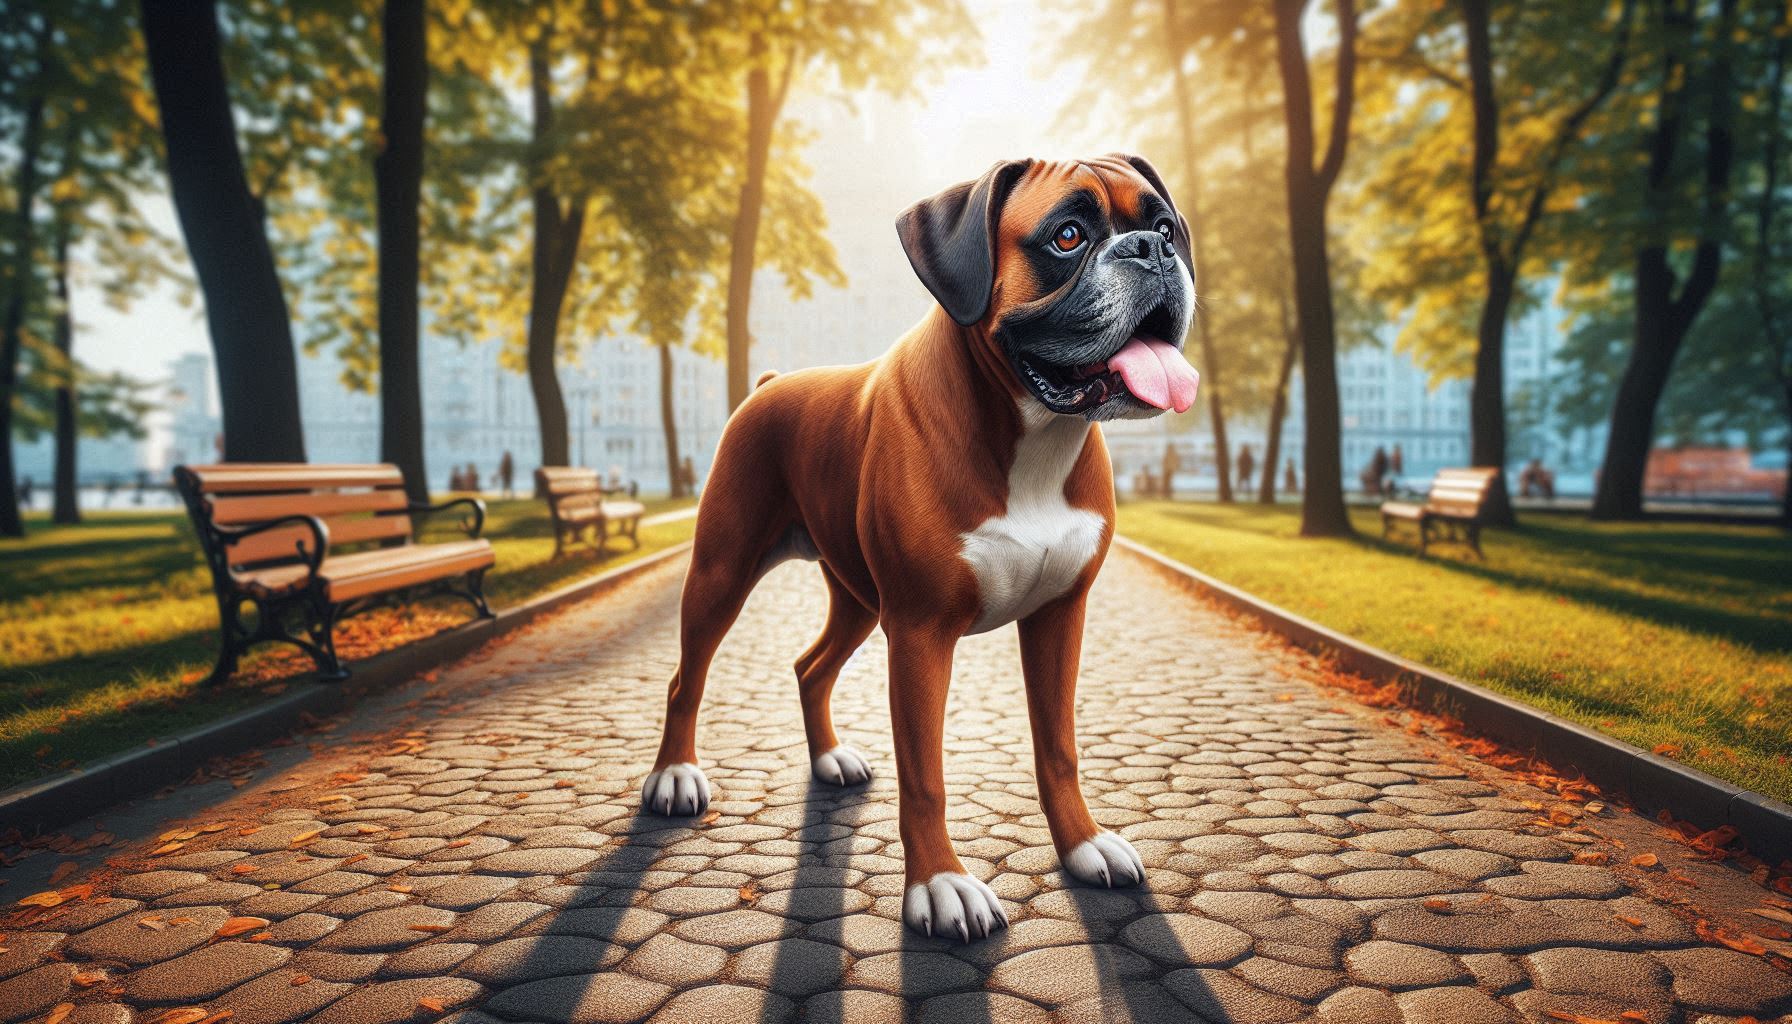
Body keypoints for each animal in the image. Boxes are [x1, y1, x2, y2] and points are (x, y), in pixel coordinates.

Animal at [637, 154, 1197, 946]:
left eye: (1165, 226)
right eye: (1067, 235)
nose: (1151, 251)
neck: (1033, 435)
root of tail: (771, 383)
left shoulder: (1059, 617)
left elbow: (1058, 747)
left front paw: (1083, 844)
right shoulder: (922, 635)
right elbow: (926, 777)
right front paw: (940, 886)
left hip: (859, 601)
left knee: (810, 667)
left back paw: (829, 759)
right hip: (723, 573)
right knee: (687, 677)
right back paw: (675, 778)